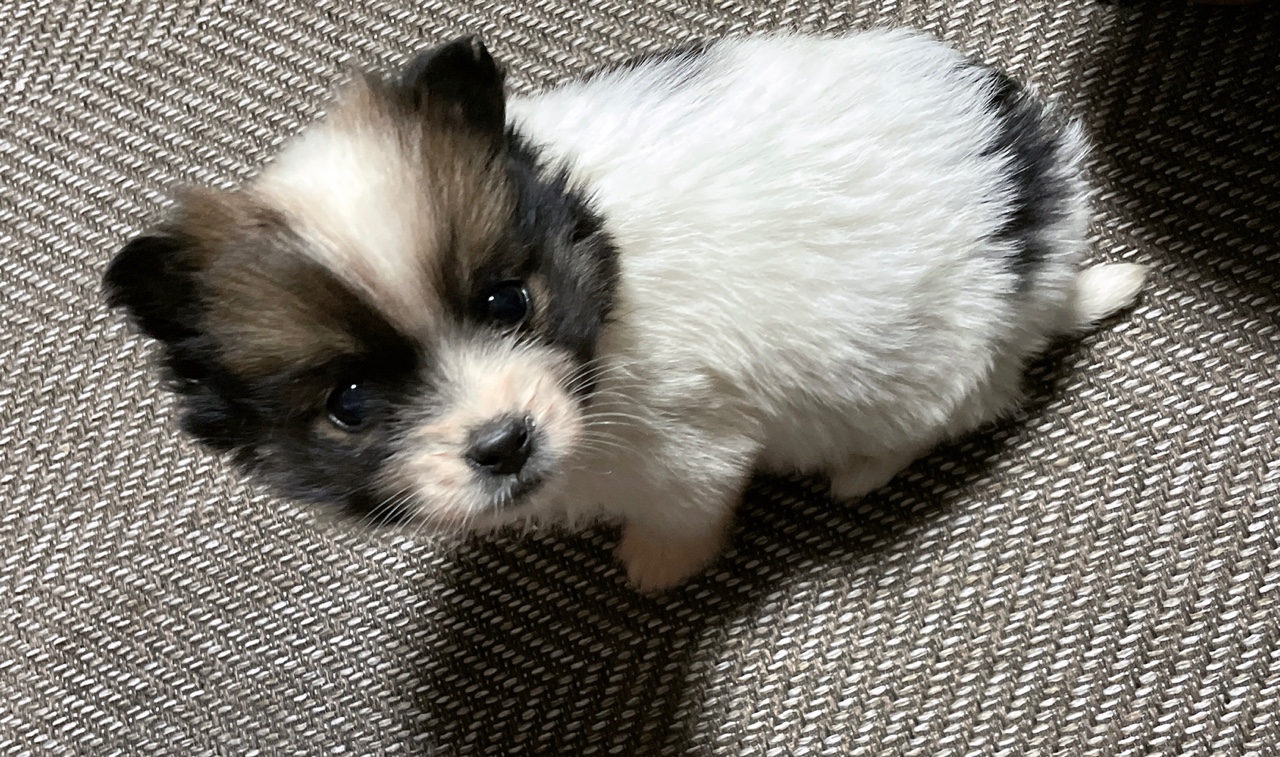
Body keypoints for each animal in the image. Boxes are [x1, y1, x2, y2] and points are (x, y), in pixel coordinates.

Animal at [104, 31, 1147, 591]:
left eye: (508, 301)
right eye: (351, 404)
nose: (504, 443)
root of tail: (1047, 241)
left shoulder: (693, 443)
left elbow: (685, 509)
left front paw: (660, 561)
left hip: (932, 365)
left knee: (968, 404)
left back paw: (861, 469)